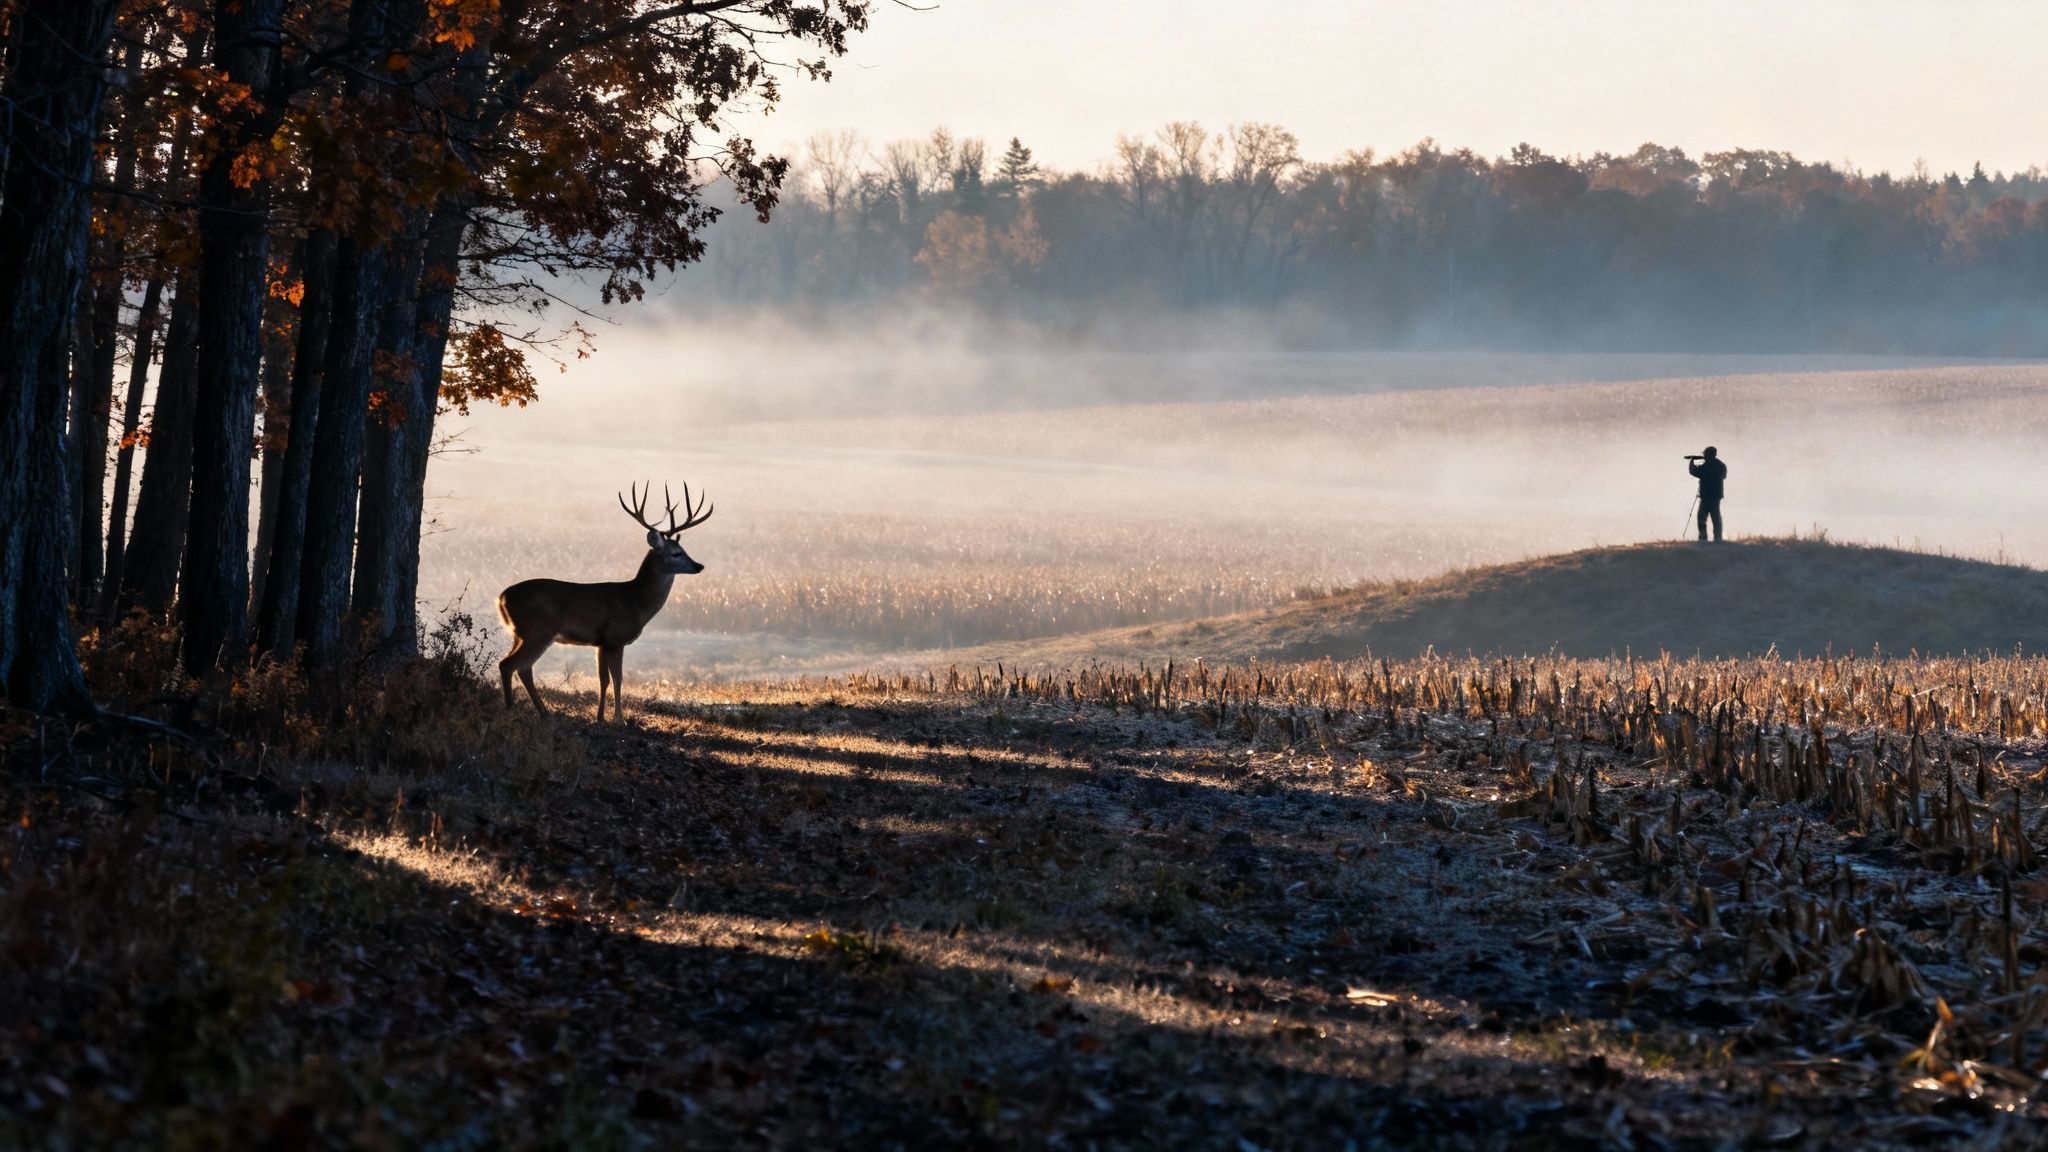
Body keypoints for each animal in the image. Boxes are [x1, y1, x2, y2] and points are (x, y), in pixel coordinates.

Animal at [497, 481, 712, 722]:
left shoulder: (600, 642)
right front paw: (620, 719)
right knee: (511, 665)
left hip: (519, 634)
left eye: (684, 550)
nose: (699, 566)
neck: (635, 601)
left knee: (521, 668)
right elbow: (617, 679)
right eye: (676, 553)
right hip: (538, 631)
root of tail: (502, 597)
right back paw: (512, 709)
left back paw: (540, 711)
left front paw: (600, 717)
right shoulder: (616, 639)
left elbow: (603, 680)